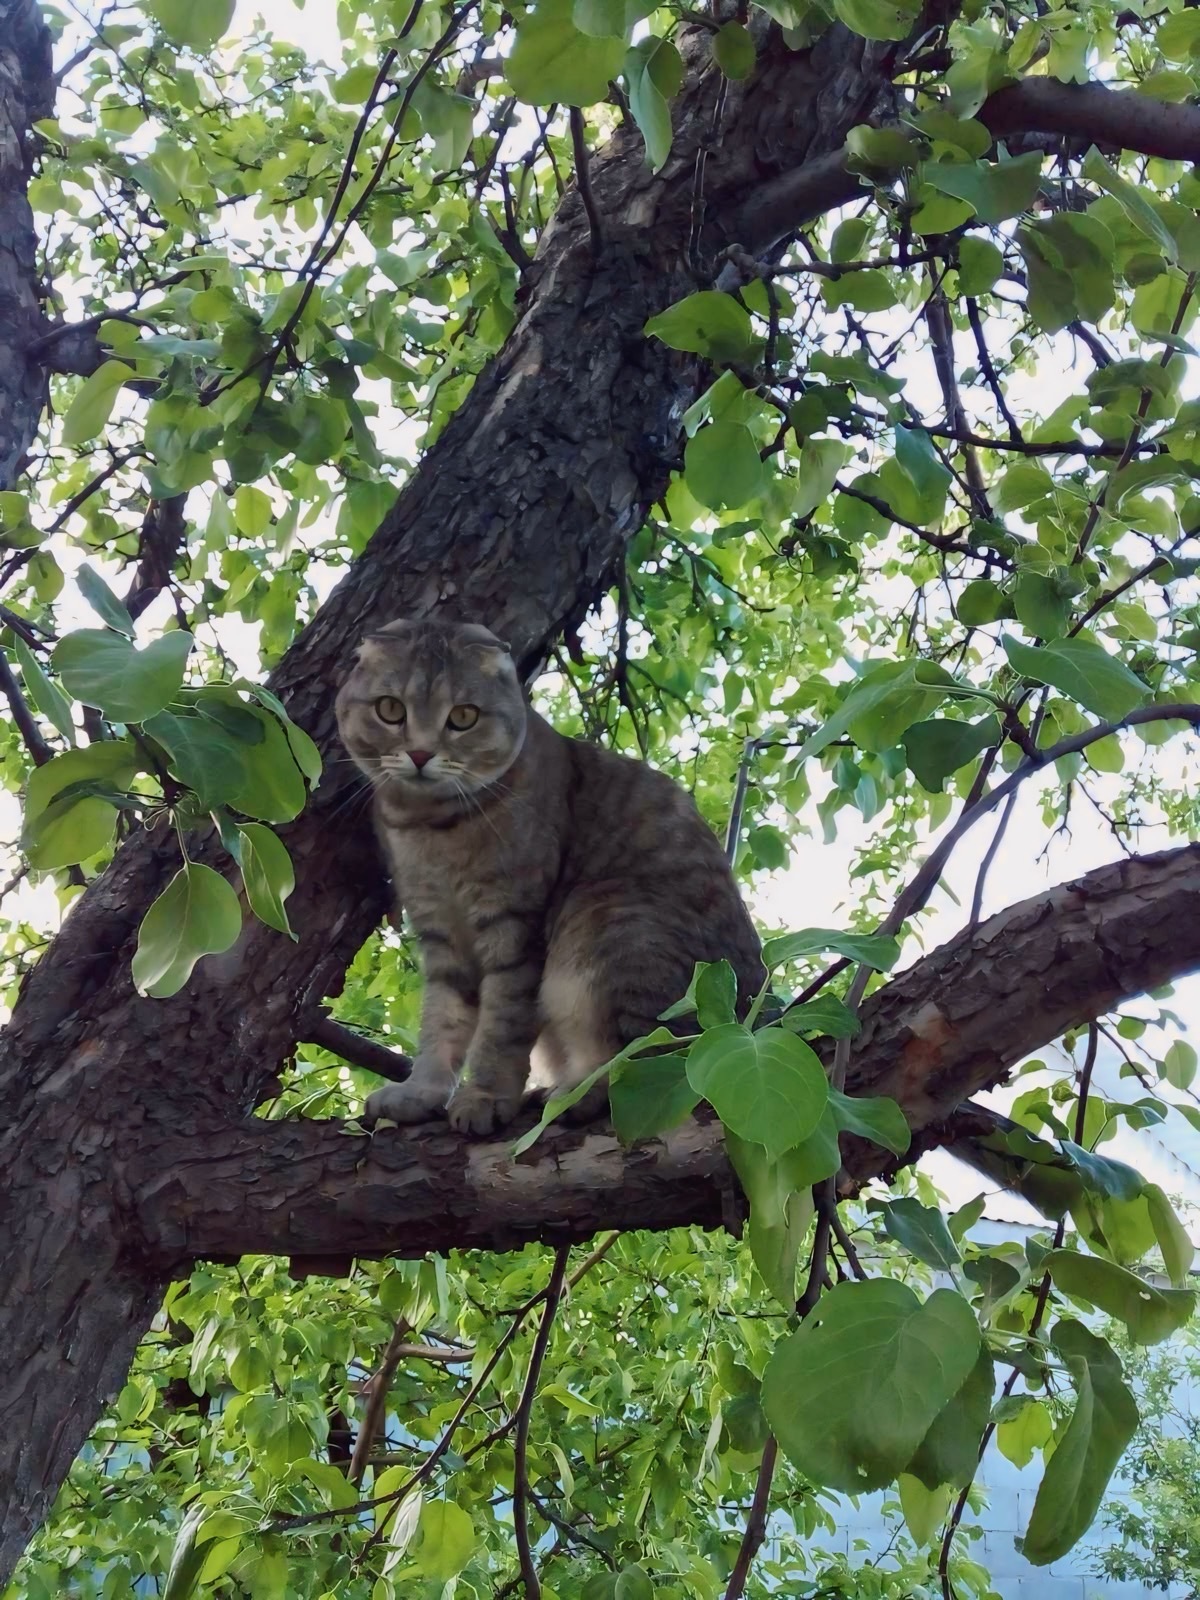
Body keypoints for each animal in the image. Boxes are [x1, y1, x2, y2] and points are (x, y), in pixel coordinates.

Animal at [336, 614, 771, 1139]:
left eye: (463, 717)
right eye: (390, 709)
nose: (420, 753)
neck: (431, 827)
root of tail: (755, 1018)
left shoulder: (514, 927)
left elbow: (501, 1027)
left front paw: (485, 1096)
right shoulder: (440, 933)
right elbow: (442, 1021)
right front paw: (420, 1093)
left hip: (606, 924)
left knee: (647, 1061)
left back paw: (572, 1092)